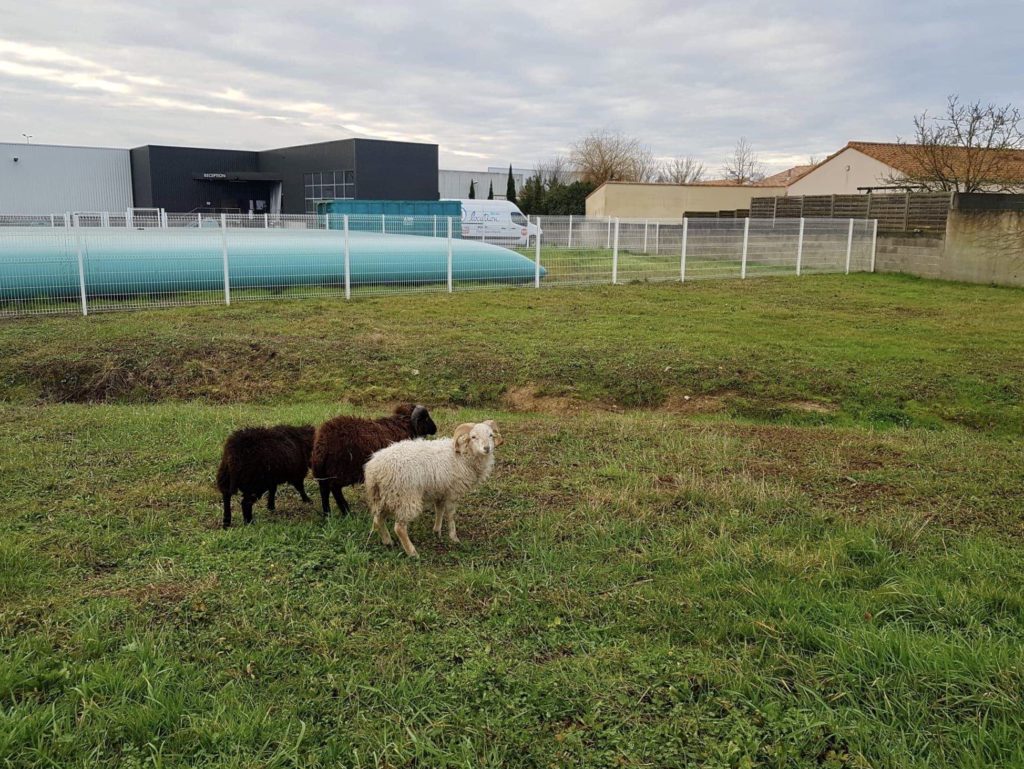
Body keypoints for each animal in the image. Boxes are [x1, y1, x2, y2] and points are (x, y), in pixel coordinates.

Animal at [364, 421, 503, 561]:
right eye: (473, 437)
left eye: (491, 435)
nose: (487, 448)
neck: (463, 454)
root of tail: (375, 469)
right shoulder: (453, 491)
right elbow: (450, 514)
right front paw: (454, 537)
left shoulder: (440, 490)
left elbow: (439, 510)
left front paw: (437, 531)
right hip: (405, 497)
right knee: (399, 528)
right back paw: (412, 553)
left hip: (383, 497)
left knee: (377, 519)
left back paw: (387, 542)